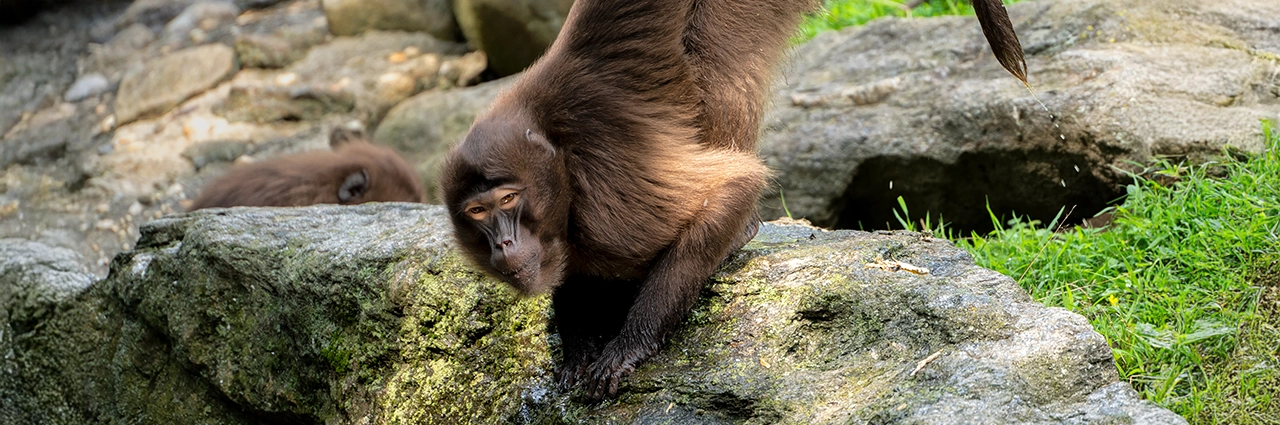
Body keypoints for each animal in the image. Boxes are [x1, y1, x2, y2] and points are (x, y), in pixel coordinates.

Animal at [439, 0, 1027, 401]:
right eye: (477, 212)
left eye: (508, 200)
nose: (503, 243)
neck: (551, 143)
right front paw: (577, 341)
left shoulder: (606, 190)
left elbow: (731, 189)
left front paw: (631, 343)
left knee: (716, 68)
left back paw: (740, 233)